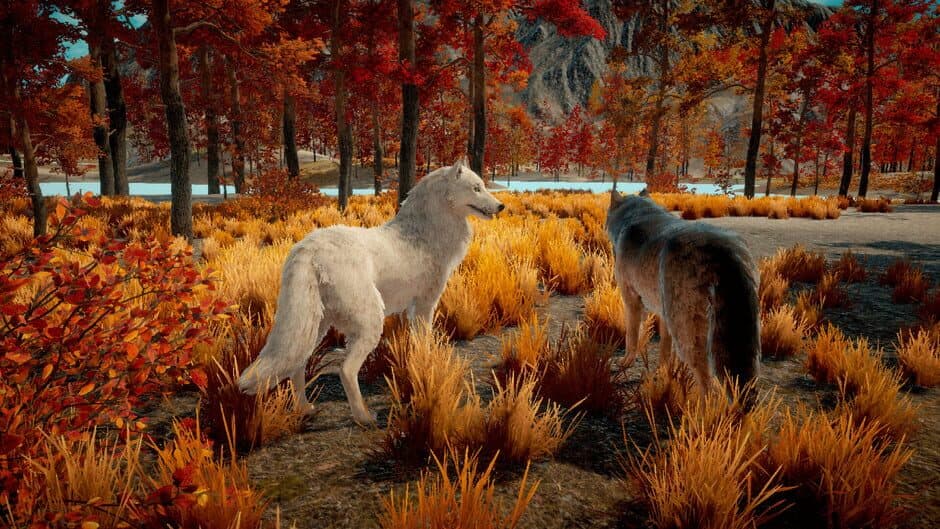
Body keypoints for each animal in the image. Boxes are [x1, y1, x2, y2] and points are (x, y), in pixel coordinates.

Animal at [237, 161, 504, 424]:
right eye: (476, 188)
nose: (501, 206)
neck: (423, 234)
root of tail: (307, 248)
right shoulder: (425, 305)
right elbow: (425, 341)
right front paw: (426, 366)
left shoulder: (413, 309)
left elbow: (415, 343)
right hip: (369, 322)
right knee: (345, 370)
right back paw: (364, 418)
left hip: (316, 325)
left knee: (297, 365)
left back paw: (305, 409)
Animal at [606, 189, 760, 392]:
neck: (637, 215)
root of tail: (724, 252)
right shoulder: (664, 314)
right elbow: (664, 349)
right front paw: (662, 373)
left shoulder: (631, 301)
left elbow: (631, 337)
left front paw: (625, 363)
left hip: (688, 336)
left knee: (708, 383)